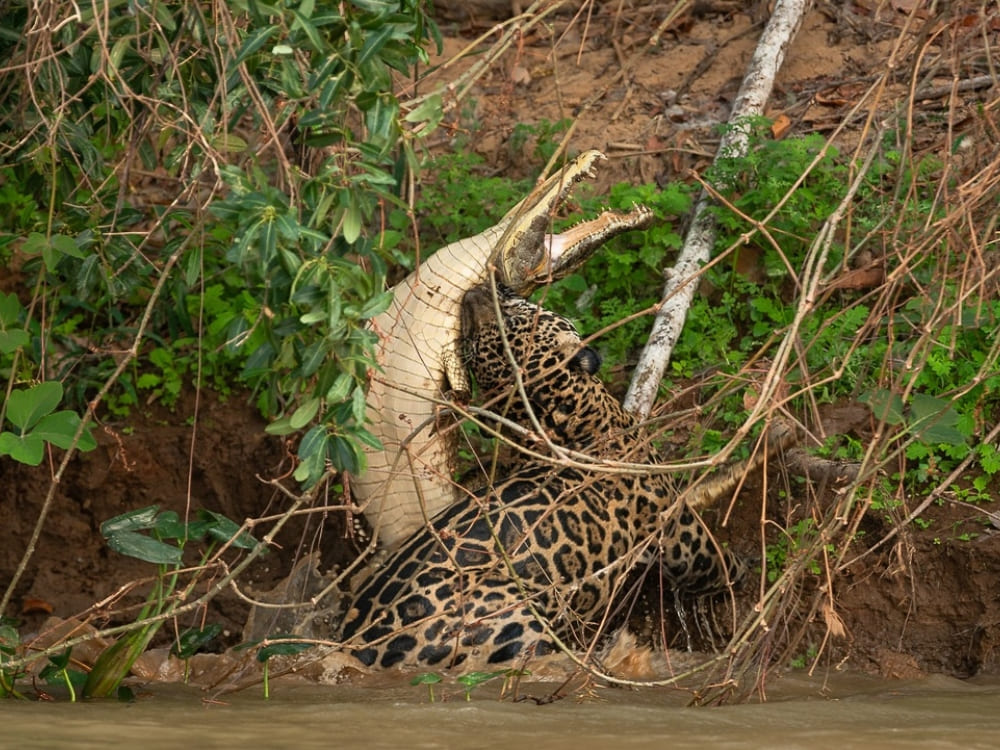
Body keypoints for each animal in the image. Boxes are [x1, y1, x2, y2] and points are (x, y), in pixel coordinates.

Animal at [337, 283, 783, 670]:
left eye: (511, 318)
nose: (477, 291)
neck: (567, 422)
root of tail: (355, 647)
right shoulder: (676, 530)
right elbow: (713, 561)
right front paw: (750, 571)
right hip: (516, 616)